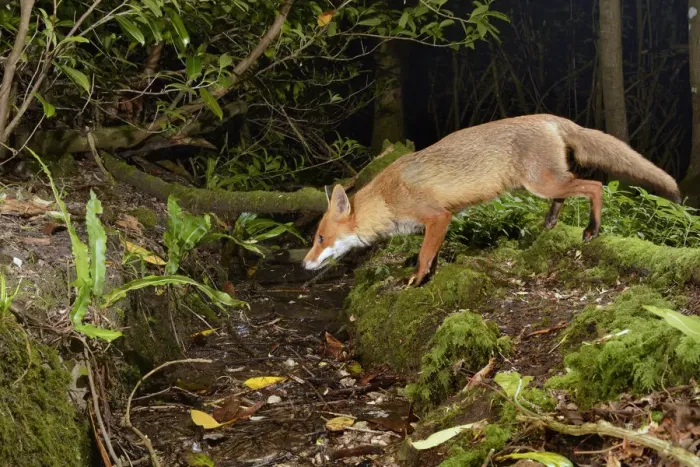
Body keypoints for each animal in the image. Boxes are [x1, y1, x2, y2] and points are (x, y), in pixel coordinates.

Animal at [302, 114, 681, 286]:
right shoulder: (441, 221)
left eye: (320, 238)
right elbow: (434, 254)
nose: (304, 264)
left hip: (542, 183)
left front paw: (416, 279)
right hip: (548, 183)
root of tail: (549, 117)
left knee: (596, 185)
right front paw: (429, 276)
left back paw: (592, 228)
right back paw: (551, 222)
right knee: (573, 191)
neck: (386, 197)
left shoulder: (437, 216)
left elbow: (424, 255)